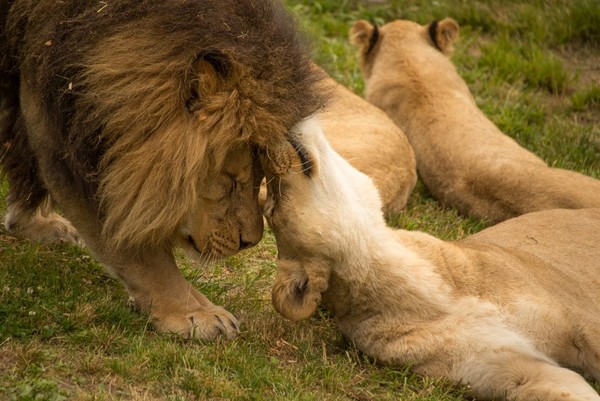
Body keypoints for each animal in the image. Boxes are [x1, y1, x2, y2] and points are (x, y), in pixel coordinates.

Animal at [1, 0, 324, 340]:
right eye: (230, 182)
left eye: (259, 178)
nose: (249, 242)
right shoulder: (61, 138)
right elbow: (140, 251)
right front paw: (195, 313)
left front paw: (29, 224)